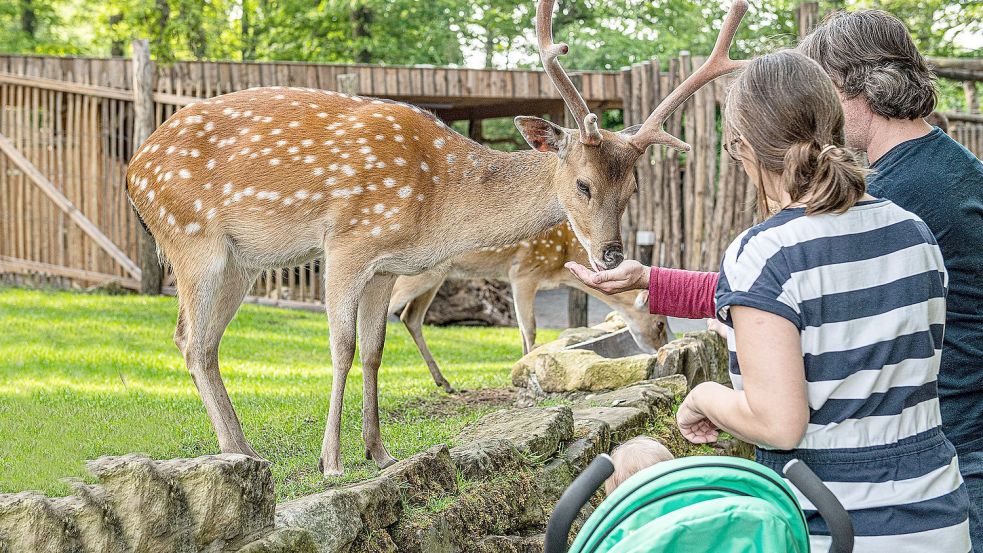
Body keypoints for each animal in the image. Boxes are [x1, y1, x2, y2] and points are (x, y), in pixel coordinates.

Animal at [388, 220, 672, 392]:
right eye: (659, 323)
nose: (661, 350)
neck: (562, 262)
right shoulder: (523, 271)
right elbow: (530, 329)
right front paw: (522, 375)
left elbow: (522, 330)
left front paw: (521, 373)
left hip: (437, 275)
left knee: (410, 317)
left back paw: (444, 382)